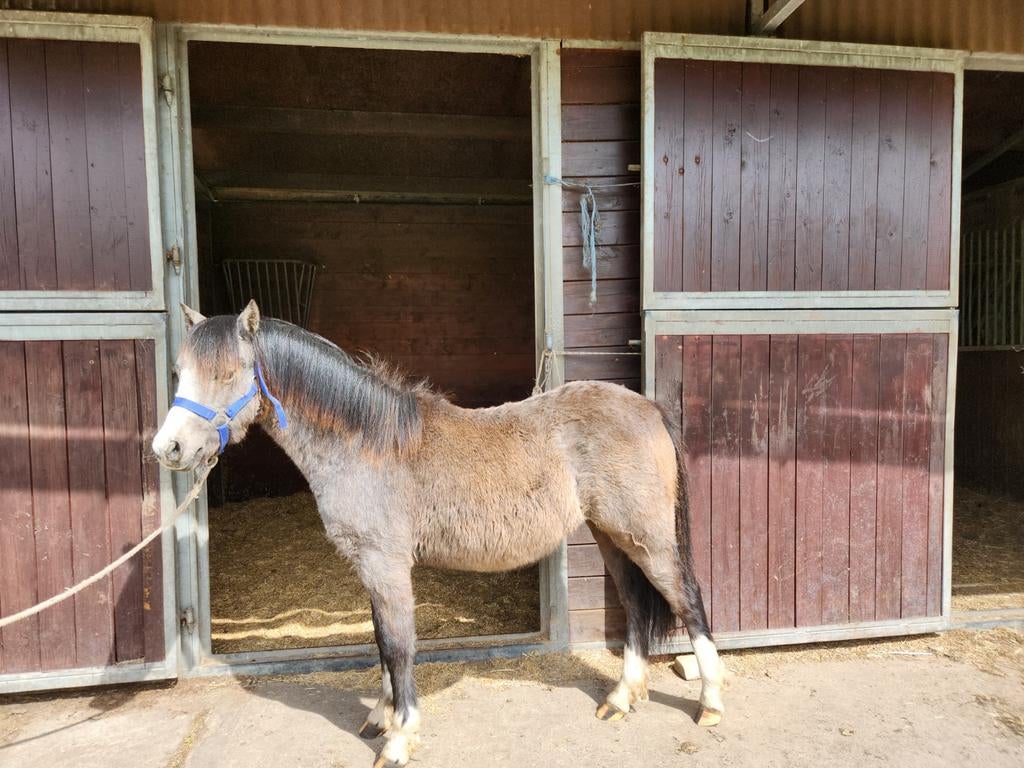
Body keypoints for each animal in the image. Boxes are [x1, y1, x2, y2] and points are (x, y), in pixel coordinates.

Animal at [152, 301, 725, 768]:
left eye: (226, 373)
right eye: (181, 372)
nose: (168, 448)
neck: (368, 442)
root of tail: (647, 407)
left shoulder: (386, 565)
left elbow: (399, 645)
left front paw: (399, 738)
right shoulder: (371, 567)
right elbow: (381, 641)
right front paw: (381, 717)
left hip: (648, 537)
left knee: (688, 600)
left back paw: (711, 703)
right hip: (613, 536)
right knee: (634, 603)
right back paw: (621, 698)